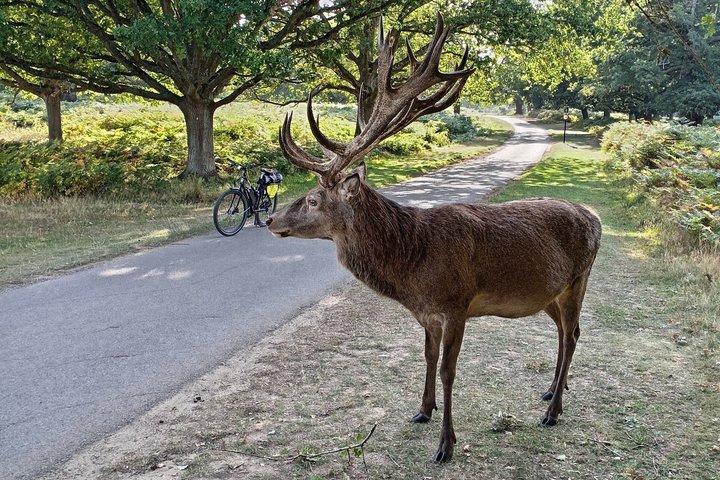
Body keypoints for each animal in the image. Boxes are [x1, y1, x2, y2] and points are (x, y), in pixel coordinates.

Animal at [266, 13, 602, 463]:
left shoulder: (457, 303)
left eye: (315, 199)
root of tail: (595, 218)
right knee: (566, 332)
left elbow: (448, 370)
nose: (271, 219)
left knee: (575, 332)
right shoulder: (426, 312)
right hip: (548, 290)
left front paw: (446, 445)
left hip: (579, 277)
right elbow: (425, 357)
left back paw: (553, 412)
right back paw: (552, 391)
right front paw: (423, 410)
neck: (414, 268)